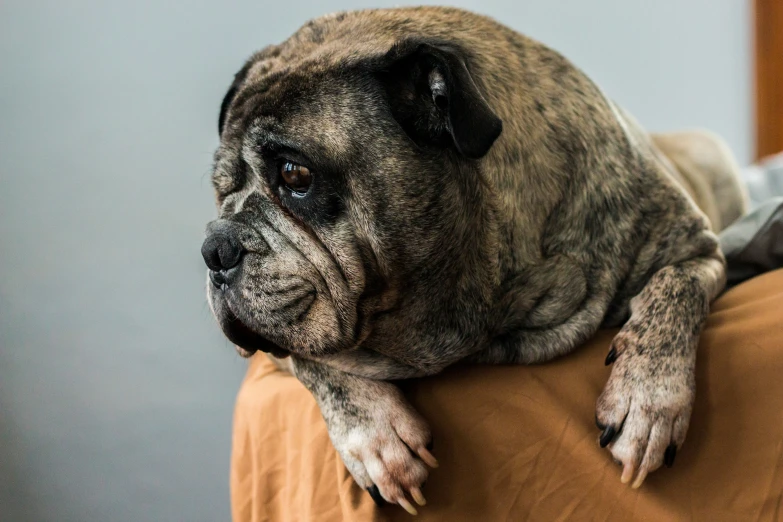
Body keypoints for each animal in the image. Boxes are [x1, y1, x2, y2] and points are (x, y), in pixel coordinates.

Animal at [202, 7, 748, 512]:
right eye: (220, 190)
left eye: (295, 174)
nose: (215, 246)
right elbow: (314, 362)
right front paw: (375, 438)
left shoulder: (697, 250)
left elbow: (673, 293)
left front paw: (648, 401)